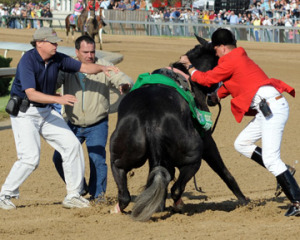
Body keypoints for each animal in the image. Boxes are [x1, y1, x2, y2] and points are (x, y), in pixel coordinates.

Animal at [109, 35, 248, 221]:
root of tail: (152, 120)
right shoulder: (207, 141)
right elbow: (223, 170)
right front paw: (243, 200)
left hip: (121, 156)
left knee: (124, 192)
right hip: (193, 156)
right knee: (176, 189)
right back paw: (179, 205)